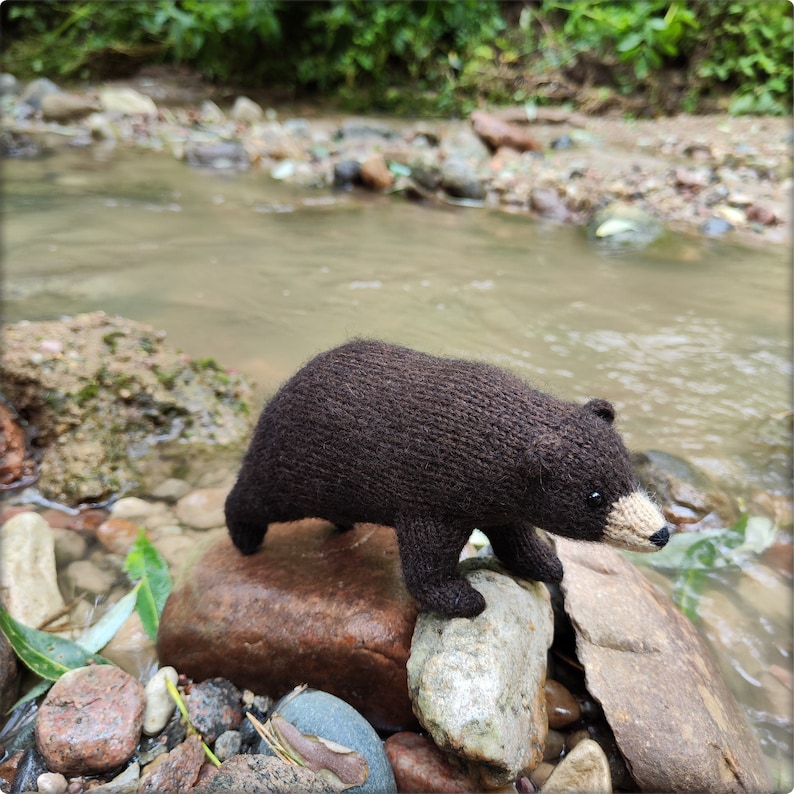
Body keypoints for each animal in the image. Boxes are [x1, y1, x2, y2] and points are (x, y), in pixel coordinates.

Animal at [224, 338, 668, 616]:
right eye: (594, 497)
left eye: (629, 476)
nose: (660, 532)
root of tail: (283, 389)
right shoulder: (431, 501)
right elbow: (427, 564)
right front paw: (460, 599)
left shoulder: (498, 503)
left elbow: (516, 534)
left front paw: (545, 562)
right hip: (292, 467)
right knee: (253, 495)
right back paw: (244, 537)